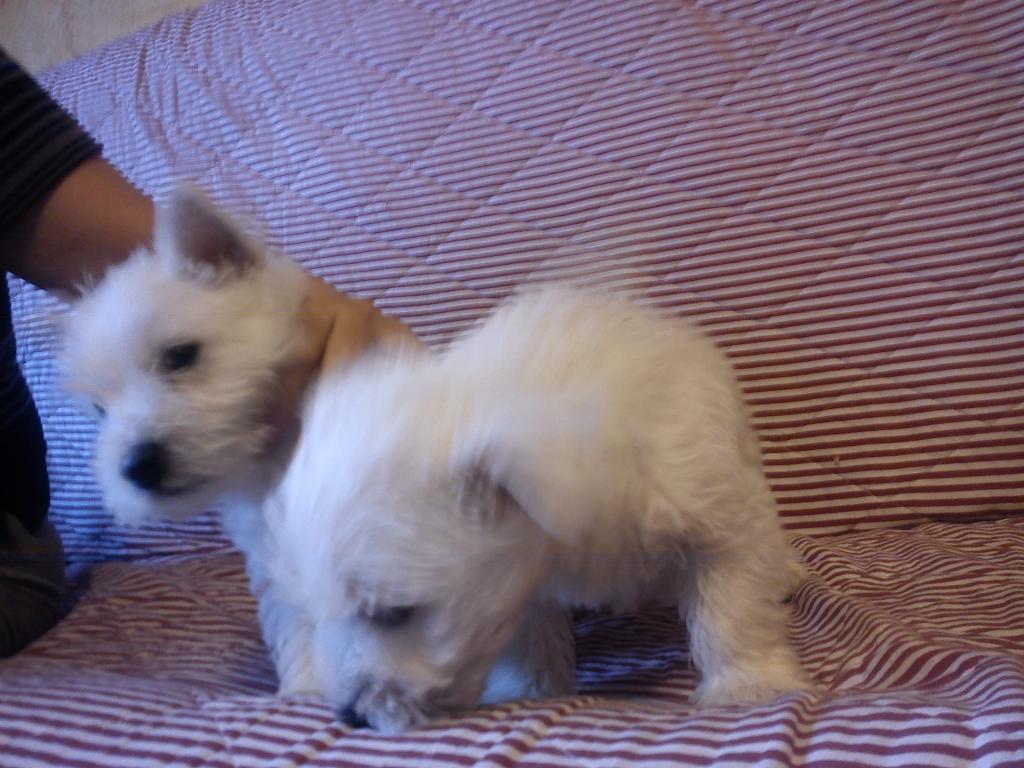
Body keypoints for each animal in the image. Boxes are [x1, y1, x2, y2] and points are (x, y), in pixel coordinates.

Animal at [268, 286, 811, 733]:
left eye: (394, 614)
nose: (350, 715)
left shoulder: (717, 517)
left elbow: (733, 608)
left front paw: (748, 683)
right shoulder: (522, 578)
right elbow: (530, 635)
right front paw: (529, 690)